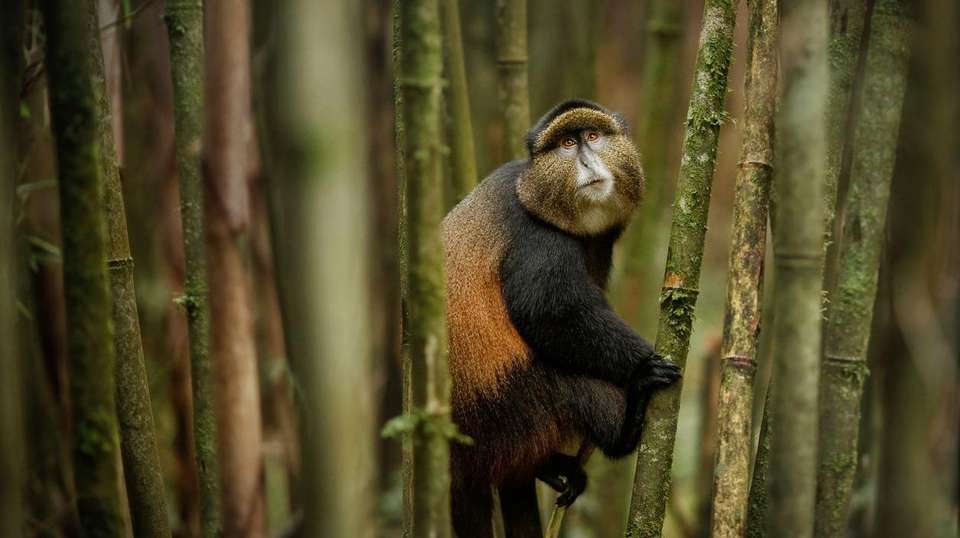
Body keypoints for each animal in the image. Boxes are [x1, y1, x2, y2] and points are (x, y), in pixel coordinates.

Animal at [442, 99, 681, 538]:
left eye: (593, 136)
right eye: (567, 144)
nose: (587, 161)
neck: (531, 189)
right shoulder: (538, 239)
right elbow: (549, 314)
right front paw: (642, 365)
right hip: (508, 404)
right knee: (571, 383)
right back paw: (626, 426)